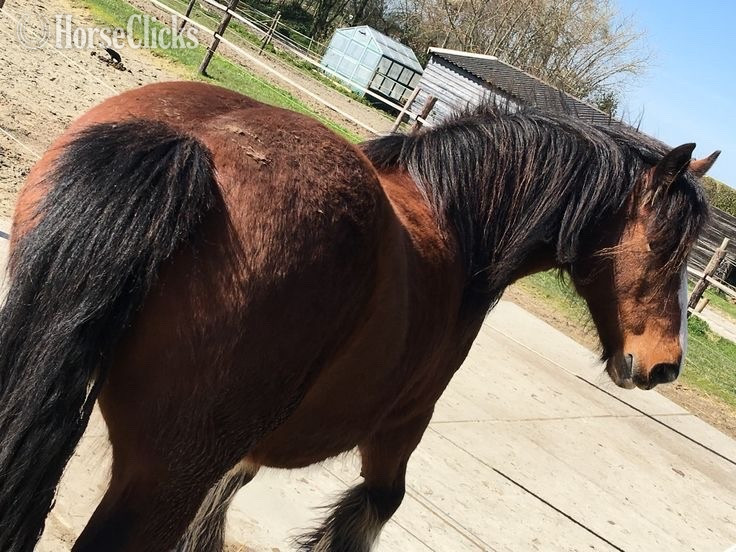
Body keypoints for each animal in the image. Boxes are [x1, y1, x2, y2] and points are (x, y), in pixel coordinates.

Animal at [0, 81, 719, 552]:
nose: (666, 366)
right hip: (164, 477)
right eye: (668, 246)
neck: (456, 219)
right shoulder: (400, 429)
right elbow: (371, 510)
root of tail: (185, 144)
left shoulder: (247, 450)